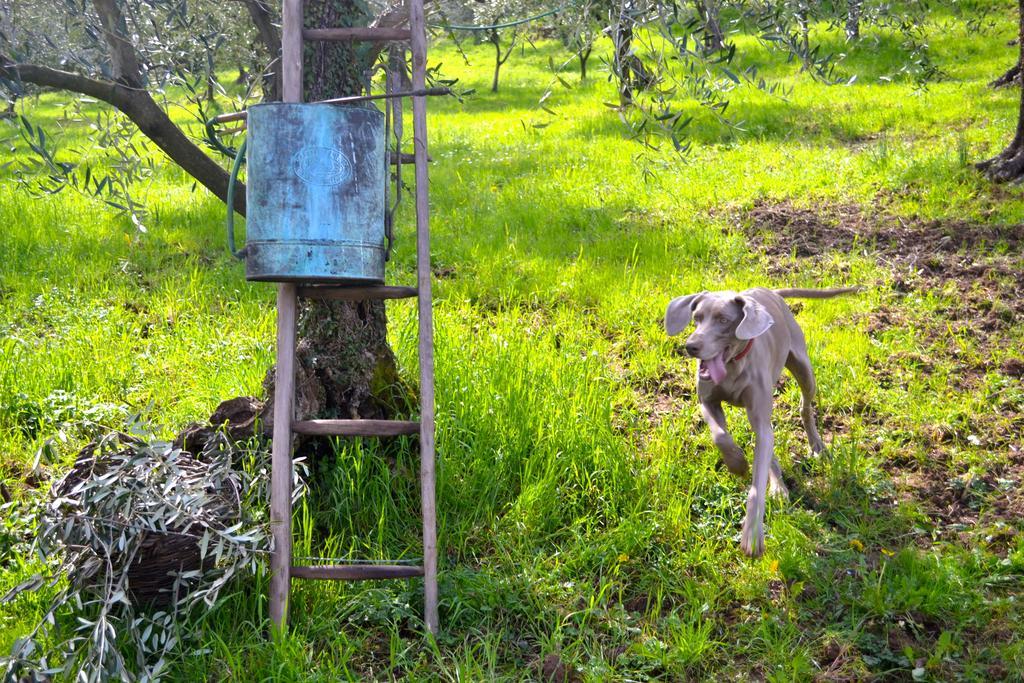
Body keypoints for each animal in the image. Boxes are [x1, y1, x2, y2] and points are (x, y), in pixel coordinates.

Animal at [667, 286, 860, 557]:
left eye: (723, 320)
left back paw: (817, 447)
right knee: (768, 444)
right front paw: (737, 463)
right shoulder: (708, 402)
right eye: (696, 318)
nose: (690, 346)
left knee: (804, 408)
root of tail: (770, 290)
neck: (734, 364)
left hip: (804, 369)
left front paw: (752, 534)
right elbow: (720, 436)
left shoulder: (759, 414)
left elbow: (756, 486)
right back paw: (778, 485)